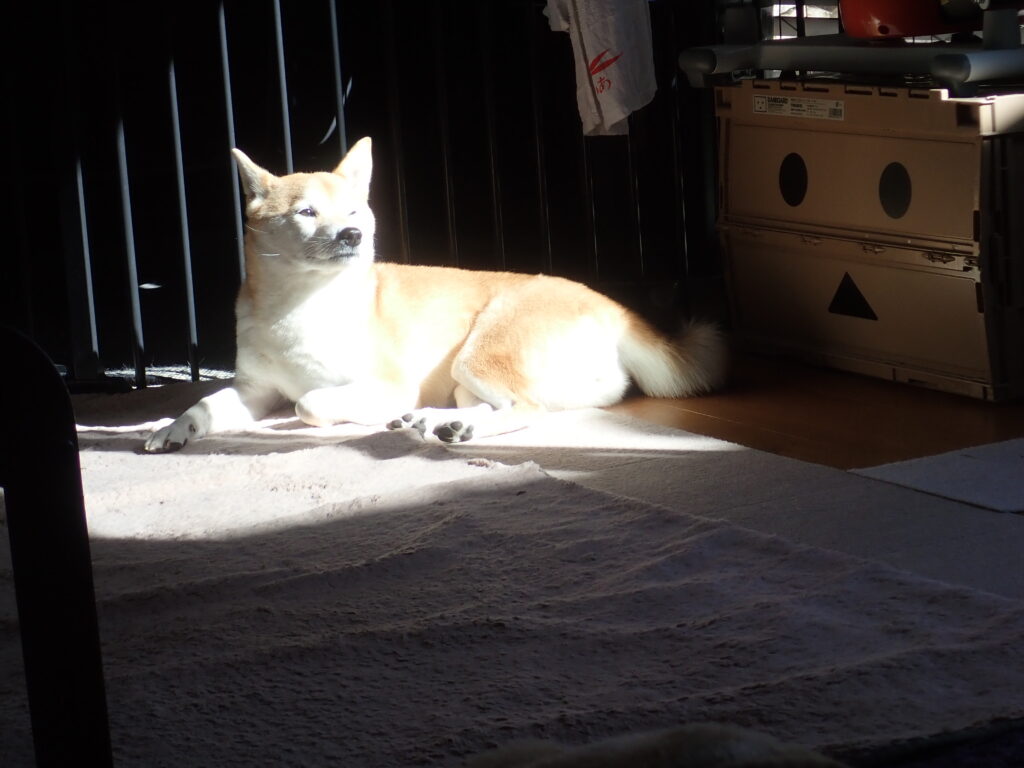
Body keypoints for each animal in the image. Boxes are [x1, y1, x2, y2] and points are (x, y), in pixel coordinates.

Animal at [144, 138, 724, 453]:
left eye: (354, 211)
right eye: (306, 212)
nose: (352, 235)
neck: (301, 305)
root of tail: (612, 306)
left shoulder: (384, 383)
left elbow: (309, 404)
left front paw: (342, 417)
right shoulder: (254, 389)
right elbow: (205, 404)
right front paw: (174, 427)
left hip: (479, 353)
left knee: (528, 407)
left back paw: (443, 424)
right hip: (481, 378)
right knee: (514, 404)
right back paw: (437, 421)